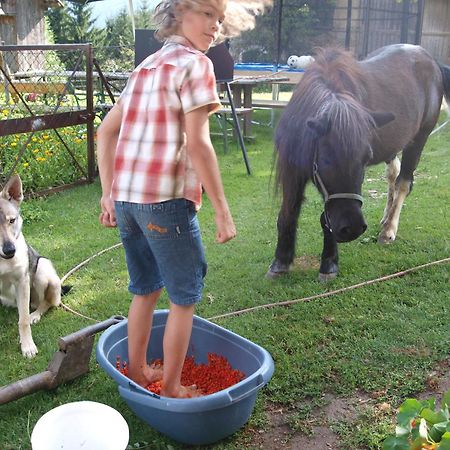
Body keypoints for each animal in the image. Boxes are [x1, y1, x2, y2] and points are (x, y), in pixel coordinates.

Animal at [0, 174, 62, 356]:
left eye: (12, 220)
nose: (10, 250)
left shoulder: (22, 282)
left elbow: (23, 321)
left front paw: (27, 346)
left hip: (42, 270)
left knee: (44, 304)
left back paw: (35, 315)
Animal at [268, 44, 450, 280]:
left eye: (365, 159)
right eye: (326, 159)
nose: (352, 228)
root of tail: (431, 60)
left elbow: (325, 219)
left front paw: (329, 263)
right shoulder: (292, 170)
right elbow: (288, 212)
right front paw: (280, 261)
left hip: (419, 139)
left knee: (403, 183)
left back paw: (388, 230)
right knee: (393, 175)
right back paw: (385, 218)